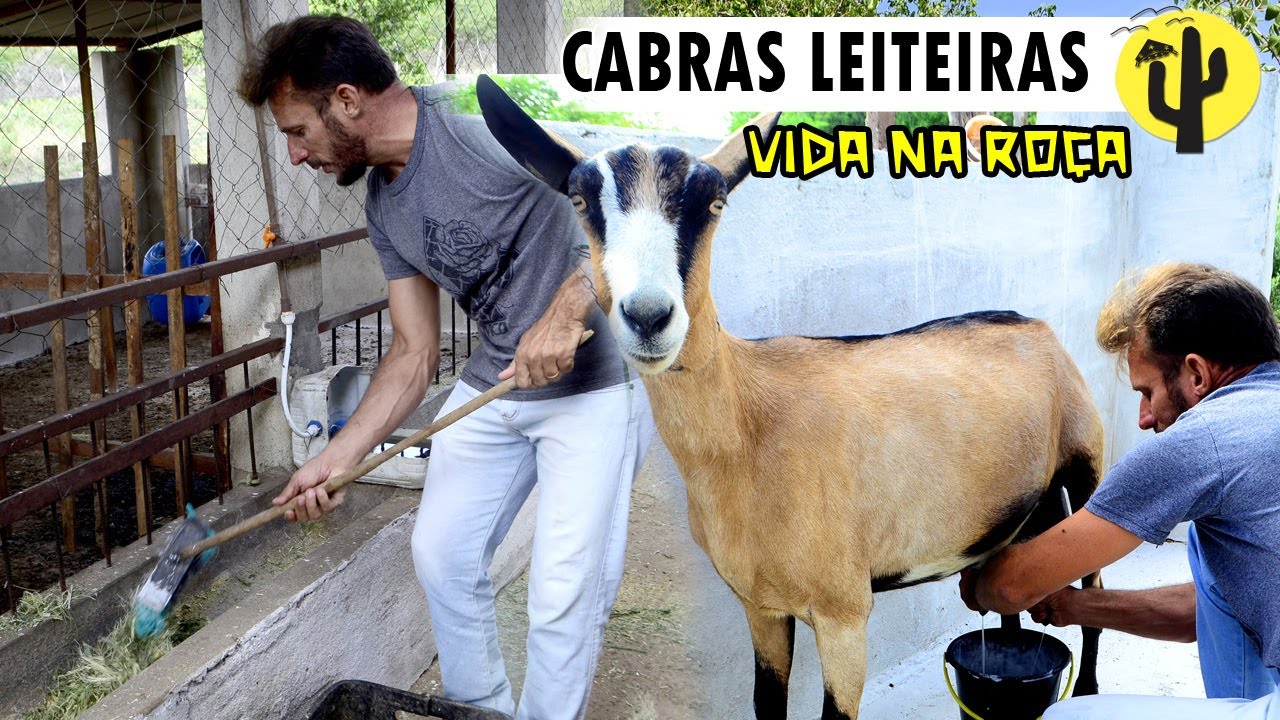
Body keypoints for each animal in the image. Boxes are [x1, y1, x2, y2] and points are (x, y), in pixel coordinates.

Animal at [476, 76, 1103, 720]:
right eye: (580, 201)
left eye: (715, 203)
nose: (649, 317)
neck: (747, 430)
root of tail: (1038, 328)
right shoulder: (761, 606)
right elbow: (764, 702)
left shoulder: (845, 613)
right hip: (1009, 517)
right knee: (1009, 608)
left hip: (1084, 471)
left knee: (1094, 595)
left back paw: (1087, 690)